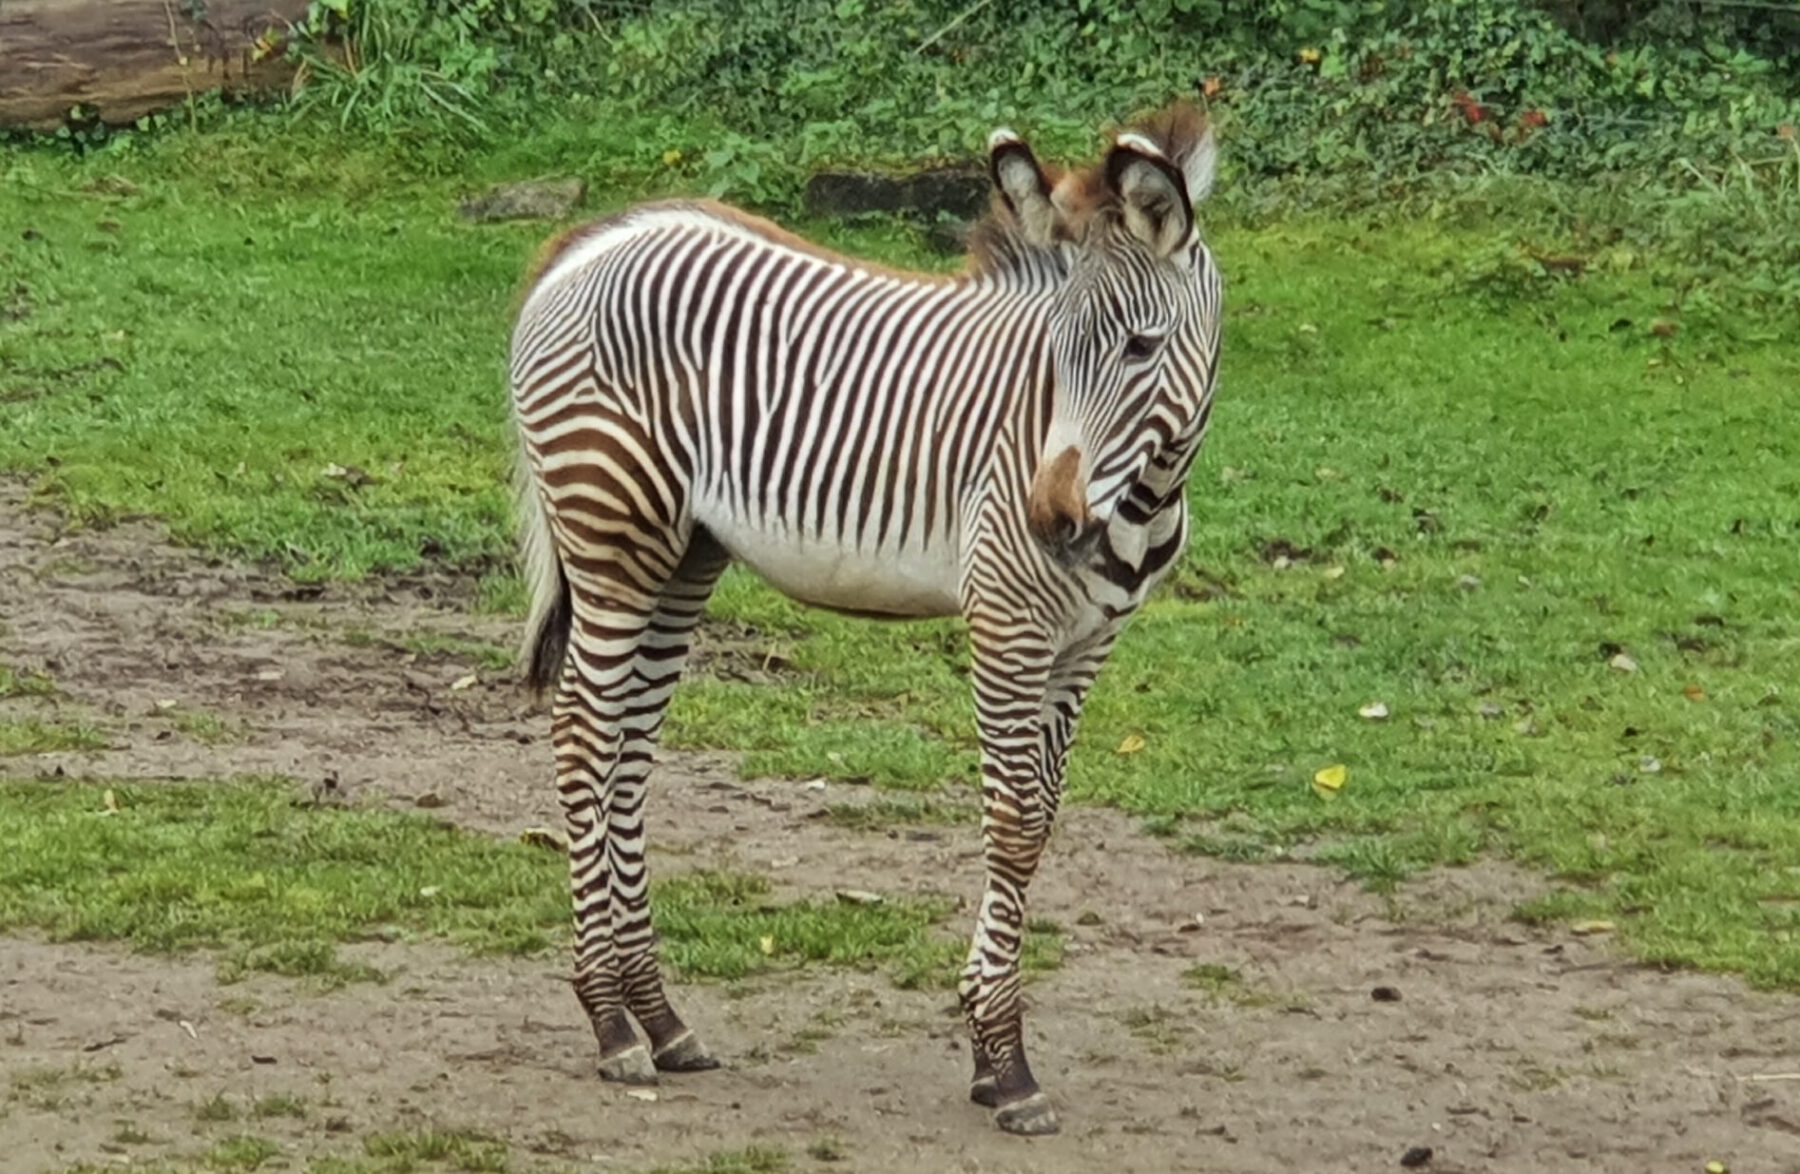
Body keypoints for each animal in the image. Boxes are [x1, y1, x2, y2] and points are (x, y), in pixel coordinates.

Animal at [507, 105, 1224, 1130]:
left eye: (1140, 348)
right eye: (1051, 355)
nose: (1052, 522)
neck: (1144, 498)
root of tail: (590, 241)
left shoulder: (1087, 646)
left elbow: (1041, 822)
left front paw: (985, 1046)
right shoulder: (1007, 623)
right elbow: (1012, 824)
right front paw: (1006, 1065)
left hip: (685, 555)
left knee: (629, 756)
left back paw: (662, 1019)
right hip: (612, 535)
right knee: (581, 738)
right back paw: (609, 1025)